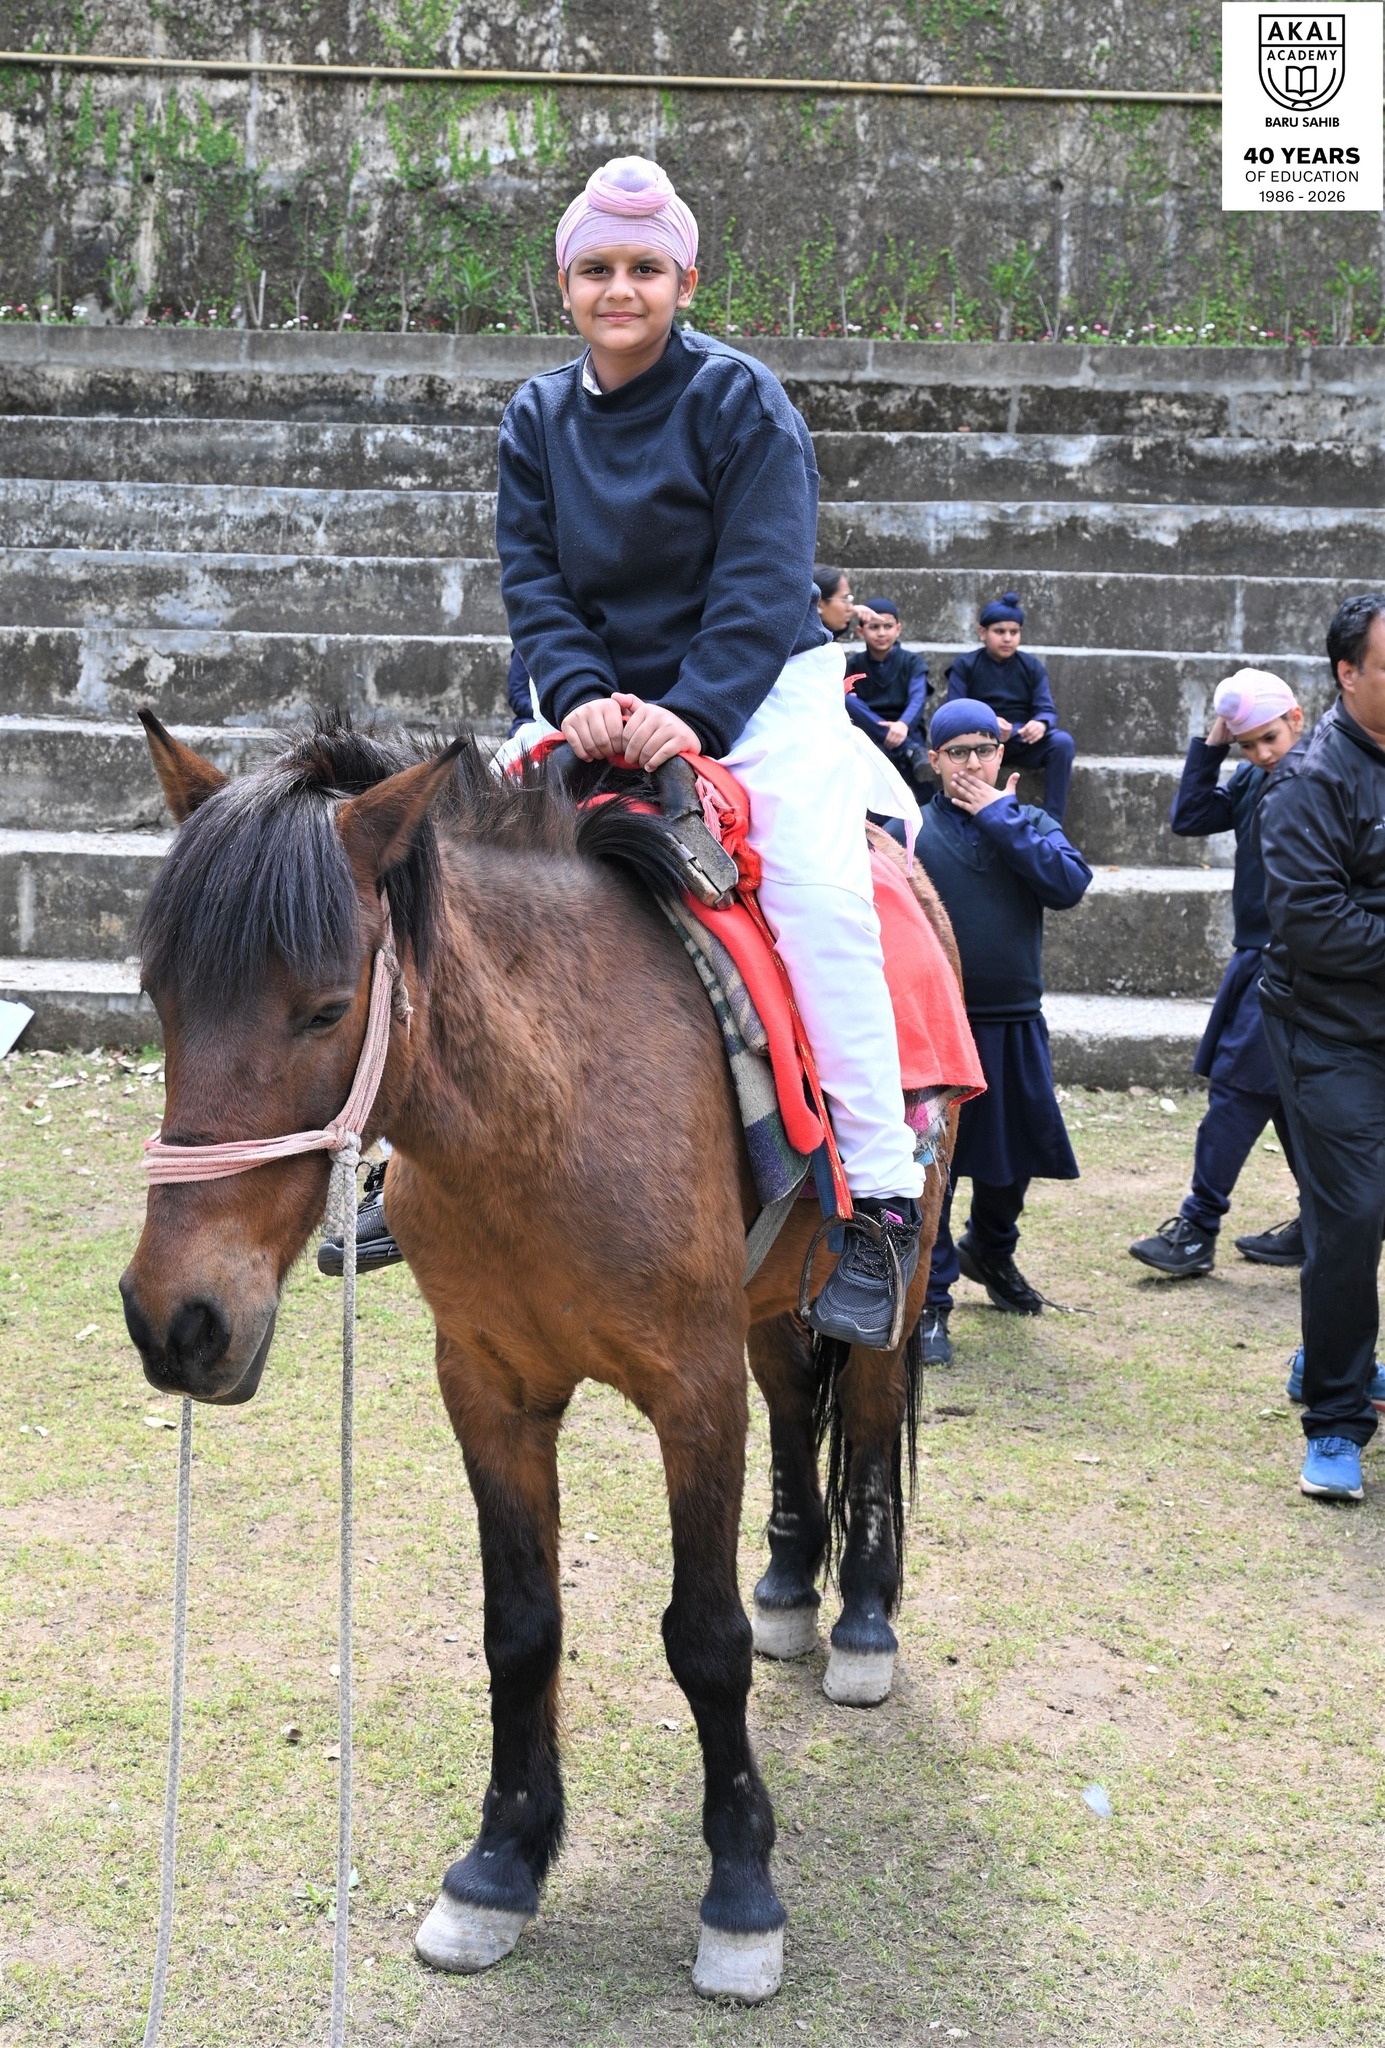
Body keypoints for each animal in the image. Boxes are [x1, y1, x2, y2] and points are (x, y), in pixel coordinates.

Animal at [119, 713, 961, 2004]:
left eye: (323, 1008)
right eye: (158, 996)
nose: (179, 1318)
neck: (549, 1104)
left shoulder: (690, 1391)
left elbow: (701, 1638)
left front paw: (740, 1889)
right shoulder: (487, 1385)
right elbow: (518, 1625)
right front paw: (500, 1862)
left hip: (899, 1262)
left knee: (864, 1412)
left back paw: (861, 1615)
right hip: (767, 1301)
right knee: (793, 1396)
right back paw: (788, 1579)